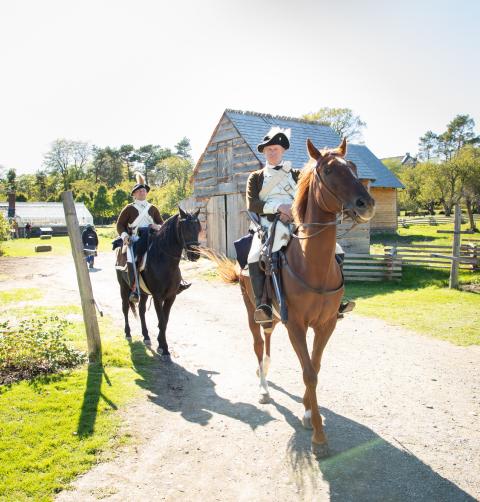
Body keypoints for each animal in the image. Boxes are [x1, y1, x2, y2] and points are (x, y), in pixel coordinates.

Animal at [210, 137, 376, 454]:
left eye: (353, 167)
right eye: (328, 170)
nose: (367, 203)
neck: (312, 264)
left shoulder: (326, 325)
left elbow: (315, 367)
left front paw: (309, 412)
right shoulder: (296, 326)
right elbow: (308, 372)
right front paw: (319, 437)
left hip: (275, 316)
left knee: (268, 339)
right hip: (252, 310)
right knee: (257, 344)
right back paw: (263, 387)